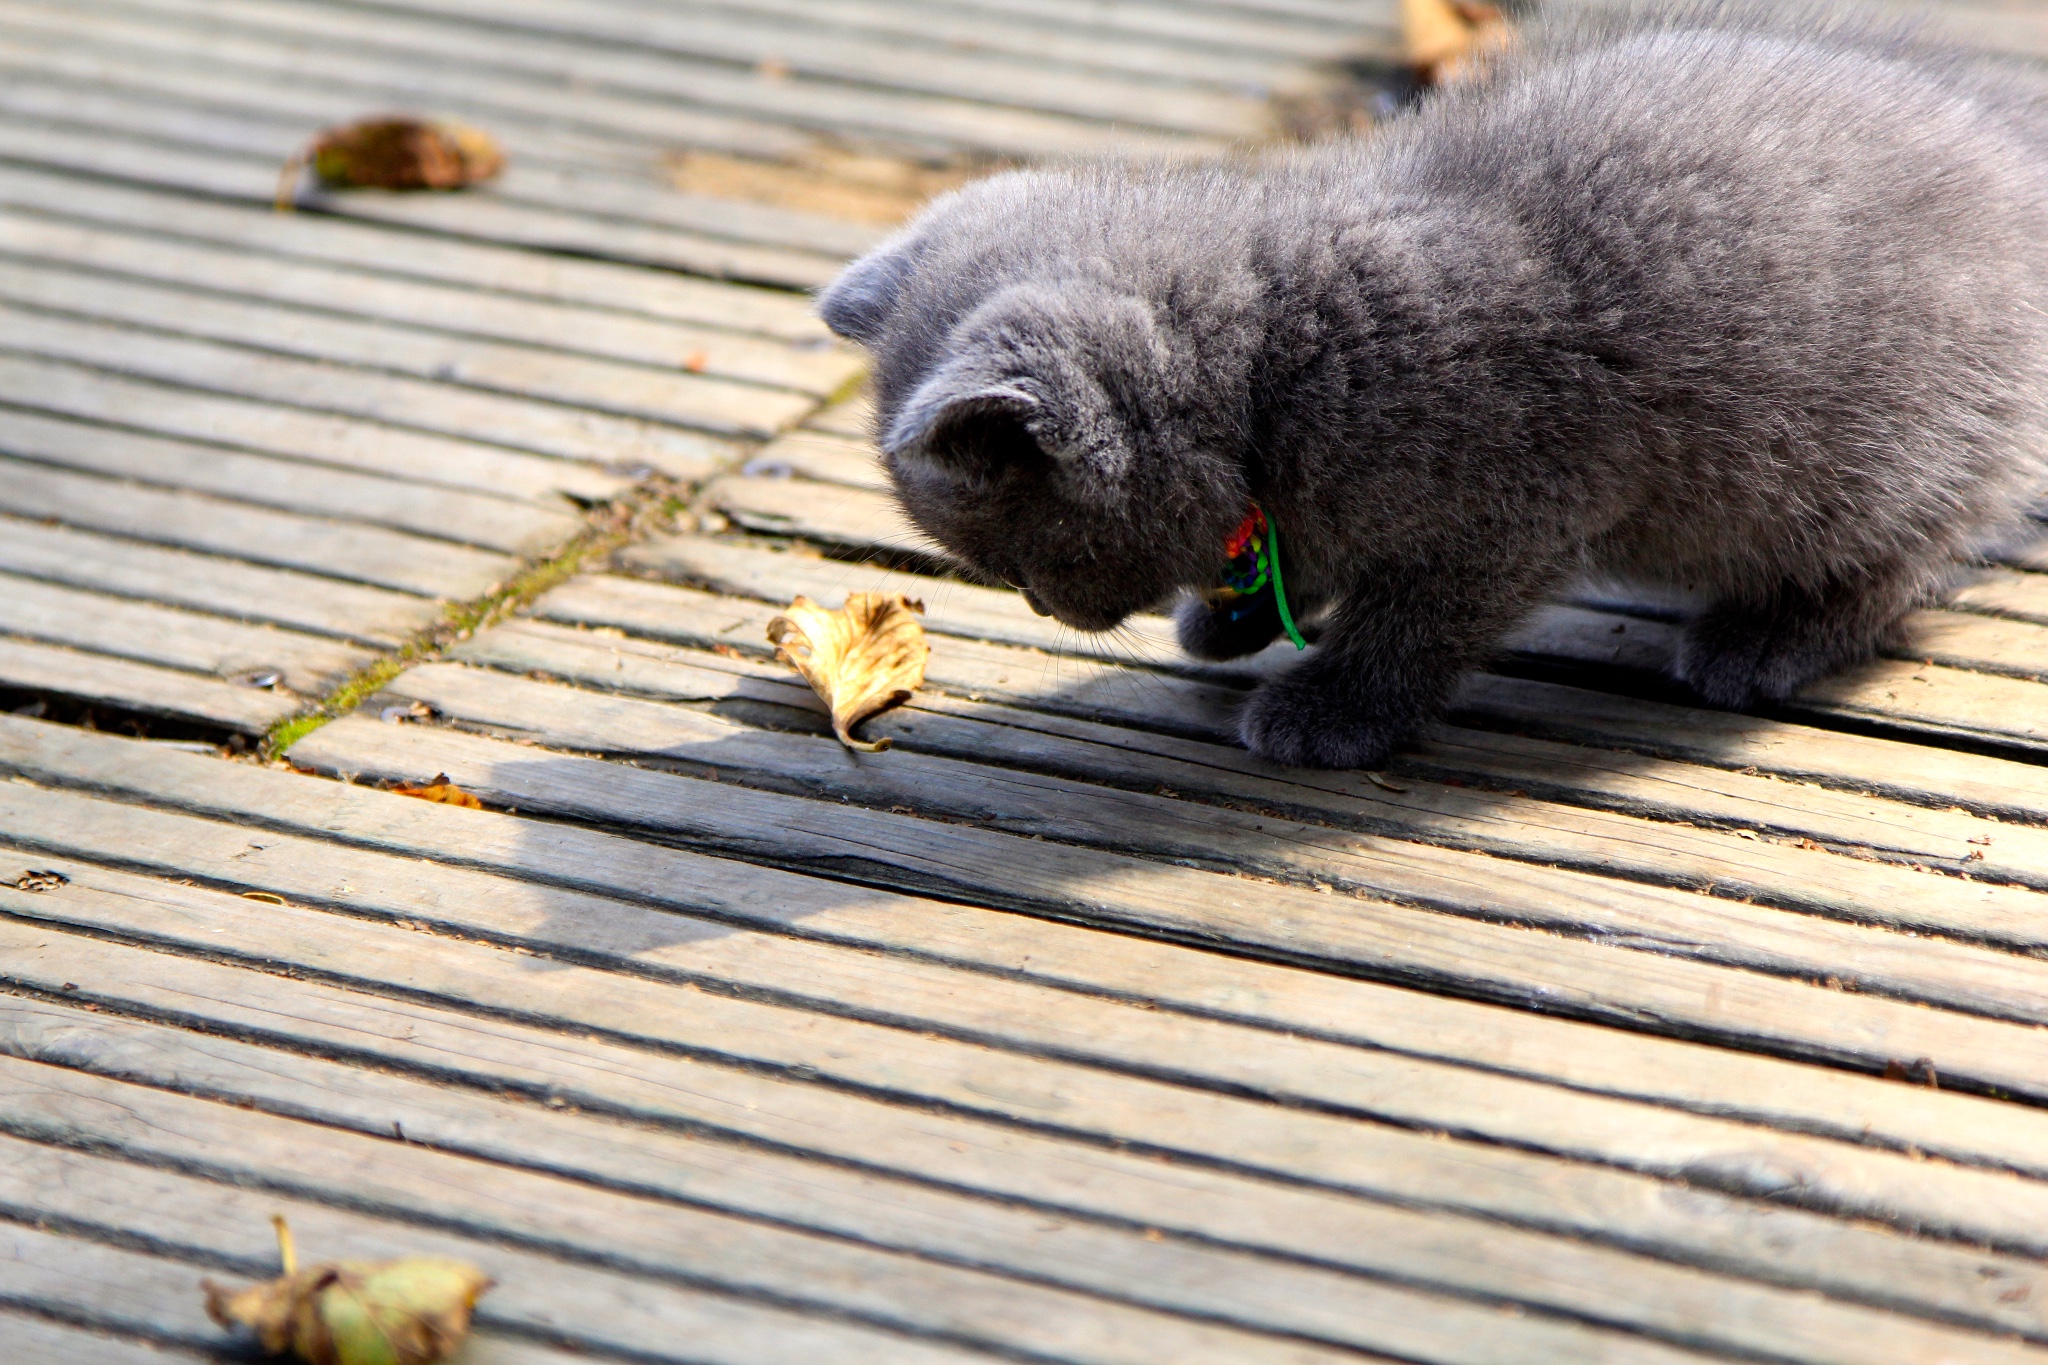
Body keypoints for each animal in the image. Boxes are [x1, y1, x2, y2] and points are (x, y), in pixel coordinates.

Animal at [819, 2, 2048, 769]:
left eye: (1027, 556)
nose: (1043, 610)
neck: (1273, 364)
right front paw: (1228, 617)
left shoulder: (1502, 519)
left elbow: (1408, 629)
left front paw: (1329, 709)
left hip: (1871, 457)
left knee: (1903, 556)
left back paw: (1763, 641)